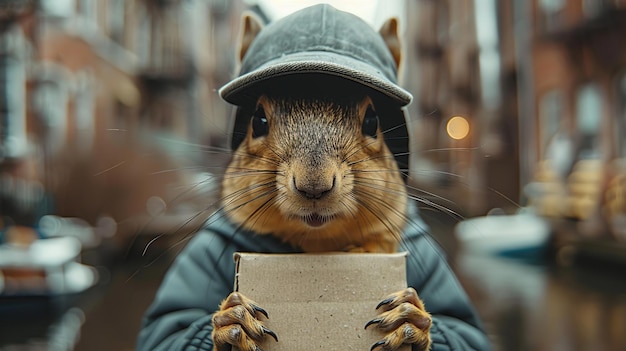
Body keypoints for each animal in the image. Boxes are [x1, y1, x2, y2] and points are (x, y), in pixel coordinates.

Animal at [212, 5, 432, 351]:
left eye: (373, 121)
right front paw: (233, 320)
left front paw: (410, 317)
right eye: (258, 121)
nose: (313, 185)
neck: (318, 249)